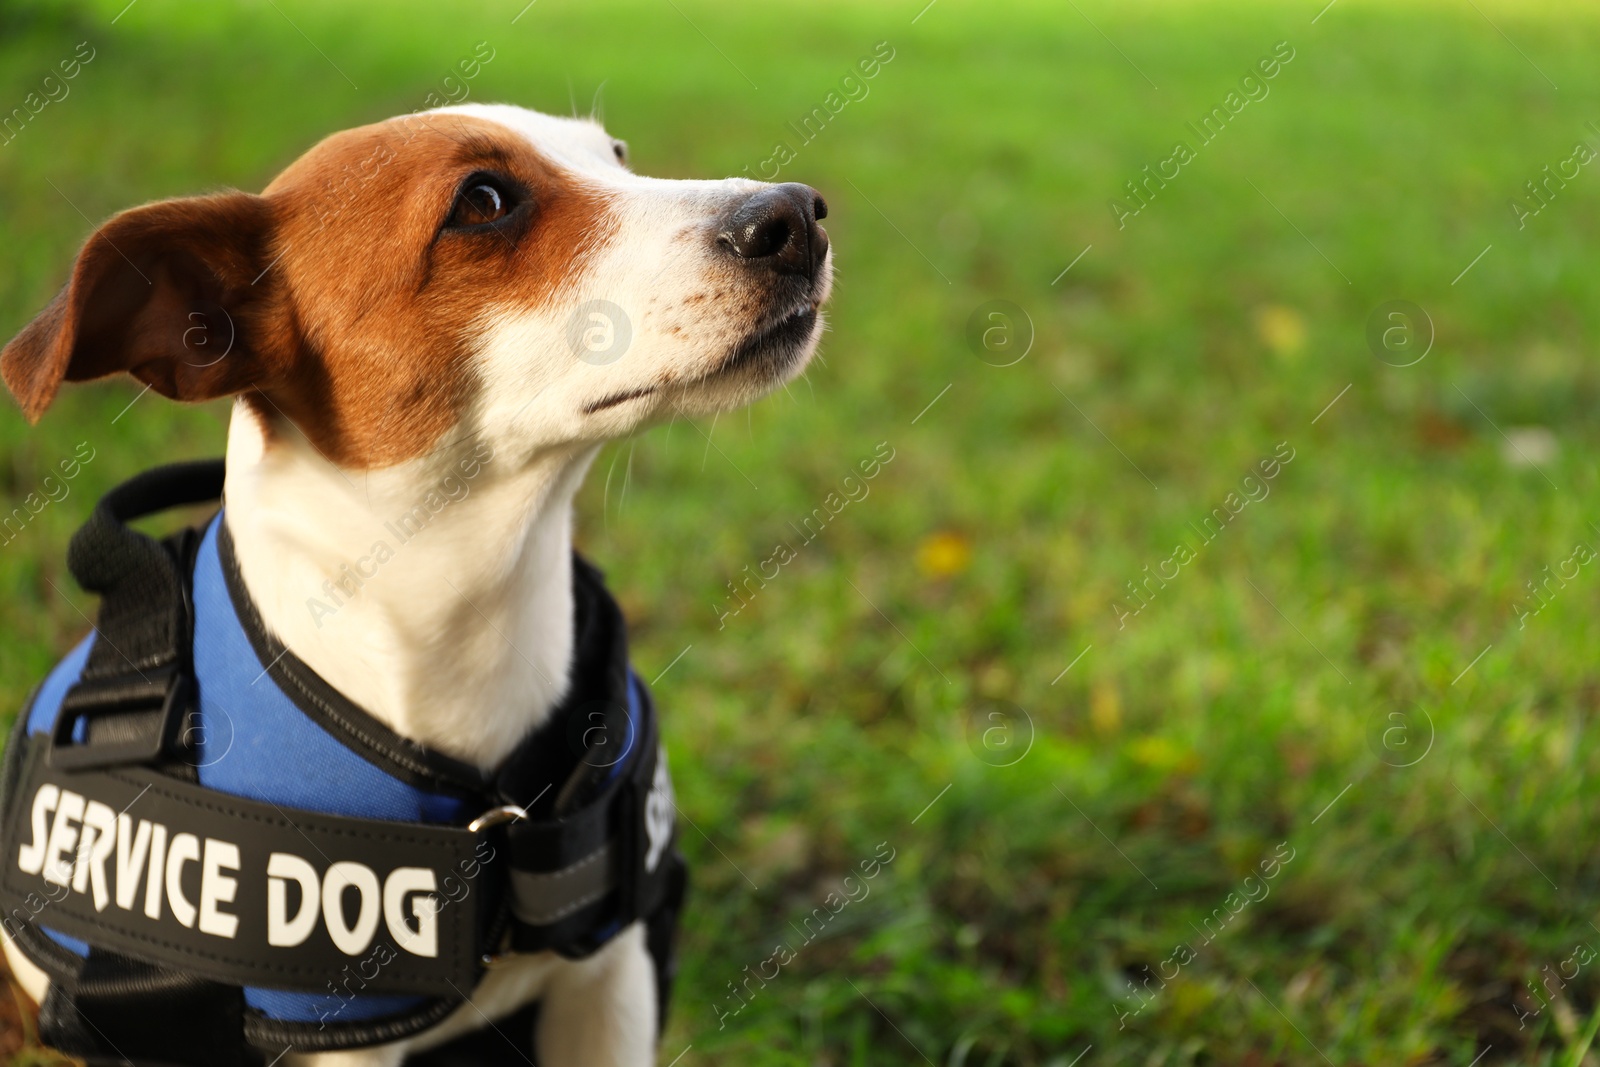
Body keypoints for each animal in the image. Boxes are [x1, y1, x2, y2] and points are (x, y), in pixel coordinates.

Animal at [3, 102, 838, 1067]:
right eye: (483, 200)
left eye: (617, 158)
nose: (797, 213)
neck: (471, 623)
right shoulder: (346, 1041)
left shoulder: (609, 981)